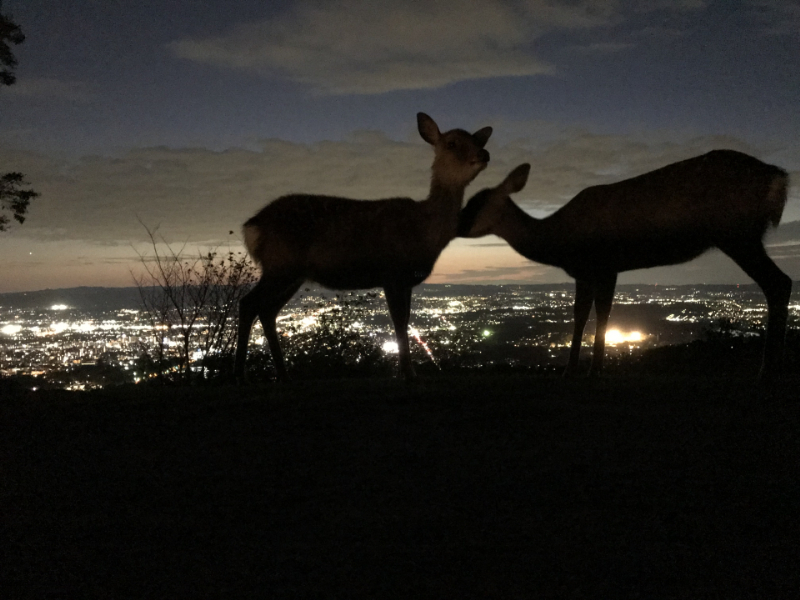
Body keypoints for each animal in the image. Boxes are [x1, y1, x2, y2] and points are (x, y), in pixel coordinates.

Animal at [234, 115, 490, 382]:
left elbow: (406, 319)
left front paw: (406, 370)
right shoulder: (392, 274)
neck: (424, 232)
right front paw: (408, 372)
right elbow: (399, 321)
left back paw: (283, 374)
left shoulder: (406, 281)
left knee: (267, 311)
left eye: (477, 140)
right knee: (248, 303)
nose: (484, 154)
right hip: (281, 264)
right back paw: (240, 374)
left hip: (291, 273)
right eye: (451, 143)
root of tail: (252, 226)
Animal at [460, 152, 792, 380]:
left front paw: (585, 370)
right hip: (741, 235)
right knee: (780, 282)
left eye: (476, 203)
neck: (559, 243)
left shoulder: (600, 264)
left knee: (779, 282)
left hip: (737, 233)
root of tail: (778, 177)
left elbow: (593, 312)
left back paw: (767, 370)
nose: (456, 225)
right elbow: (590, 312)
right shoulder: (596, 270)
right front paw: (582, 368)